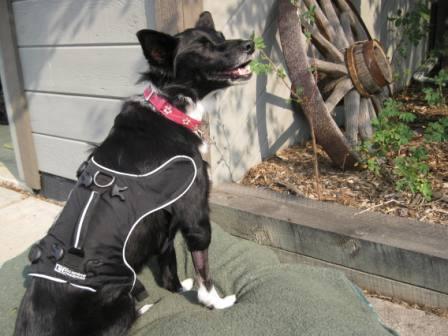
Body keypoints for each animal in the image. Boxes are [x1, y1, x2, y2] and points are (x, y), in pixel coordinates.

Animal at [14, 10, 254, 336]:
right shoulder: (195, 217)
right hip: (122, 300)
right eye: (204, 47)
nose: (250, 44)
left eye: (221, 37)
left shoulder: (166, 227)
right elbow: (204, 270)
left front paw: (178, 288)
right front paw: (216, 302)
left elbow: (169, 264)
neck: (170, 109)